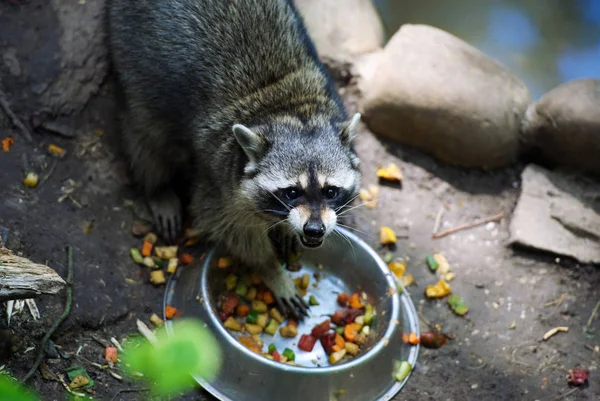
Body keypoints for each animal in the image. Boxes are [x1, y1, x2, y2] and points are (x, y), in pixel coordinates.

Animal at [107, 0, 360, 318]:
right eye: (291, 192)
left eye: (330, 191)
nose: (314, 229)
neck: (286, 108)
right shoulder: (218, 178)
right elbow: (235, 230)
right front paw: (272, 271)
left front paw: (284, 230)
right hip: (134, 58)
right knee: (146, 134)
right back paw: (157, 187)